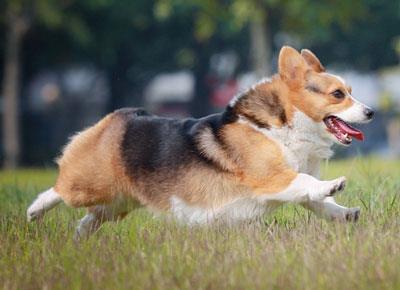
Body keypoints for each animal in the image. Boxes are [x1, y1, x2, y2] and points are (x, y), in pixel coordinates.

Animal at [26, 46, 374, 239]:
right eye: (338, 95)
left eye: (350, 91)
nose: (371, 112)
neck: (286, 123)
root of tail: (118, 117)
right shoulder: (273, 178)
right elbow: (307, 183)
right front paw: (334, 185)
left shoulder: (286, 184)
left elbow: (315, 201)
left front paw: (345, 214)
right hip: (88, 186)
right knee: (59, 189)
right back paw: (34, 212)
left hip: (120, 202)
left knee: (92, 218)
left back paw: (79, 237)